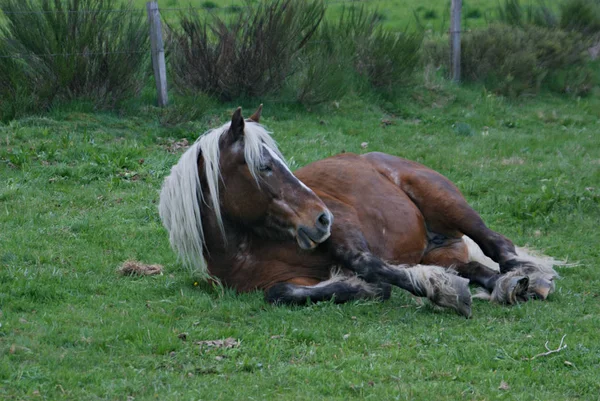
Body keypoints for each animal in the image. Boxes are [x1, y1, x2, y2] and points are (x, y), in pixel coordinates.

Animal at [159, 105, 564, 316]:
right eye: (264, 166)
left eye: (279, 162)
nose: (321, 217)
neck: (251, 247)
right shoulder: (281, 282)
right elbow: (281, 293)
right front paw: (359, 287)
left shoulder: (346, 230)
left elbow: (368, 263)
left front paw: (438, 289)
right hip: (442, 253)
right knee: (481, 270)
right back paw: (510, 286)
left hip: (449, 205)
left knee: (500, 247)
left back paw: (530, 279)